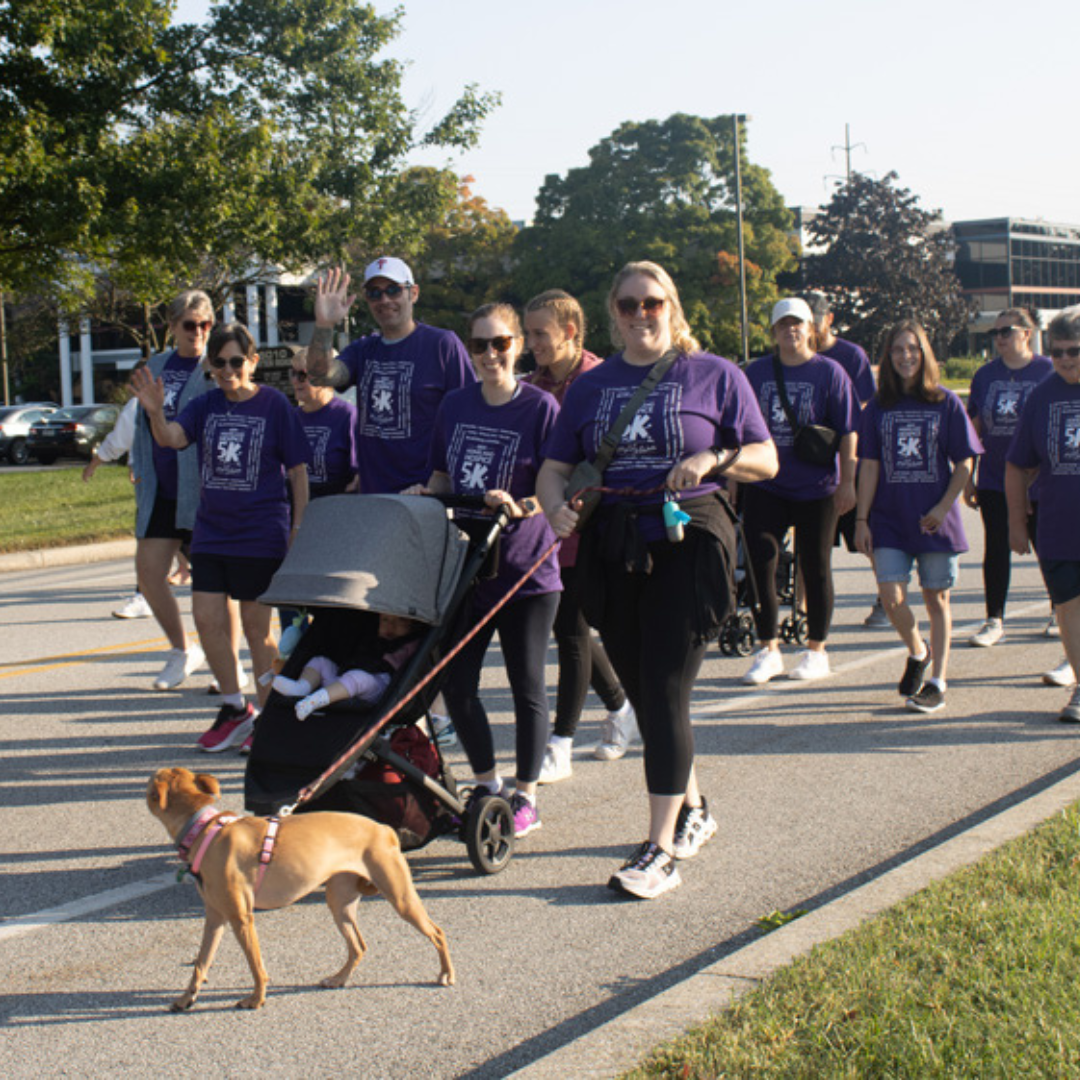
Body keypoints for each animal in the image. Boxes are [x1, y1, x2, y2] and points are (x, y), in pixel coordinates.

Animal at [146, 764, 451, 1006]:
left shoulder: (241, 918)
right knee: (358, 946)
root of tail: (384, 828)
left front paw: (256, 999)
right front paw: (186, 998)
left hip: (401, 898)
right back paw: (339, 978)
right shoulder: (215, 918)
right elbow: (201, 962)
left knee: (437, 933)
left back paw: (446, 974)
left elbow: (256, 965)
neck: (205, 829)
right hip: (340, 903)